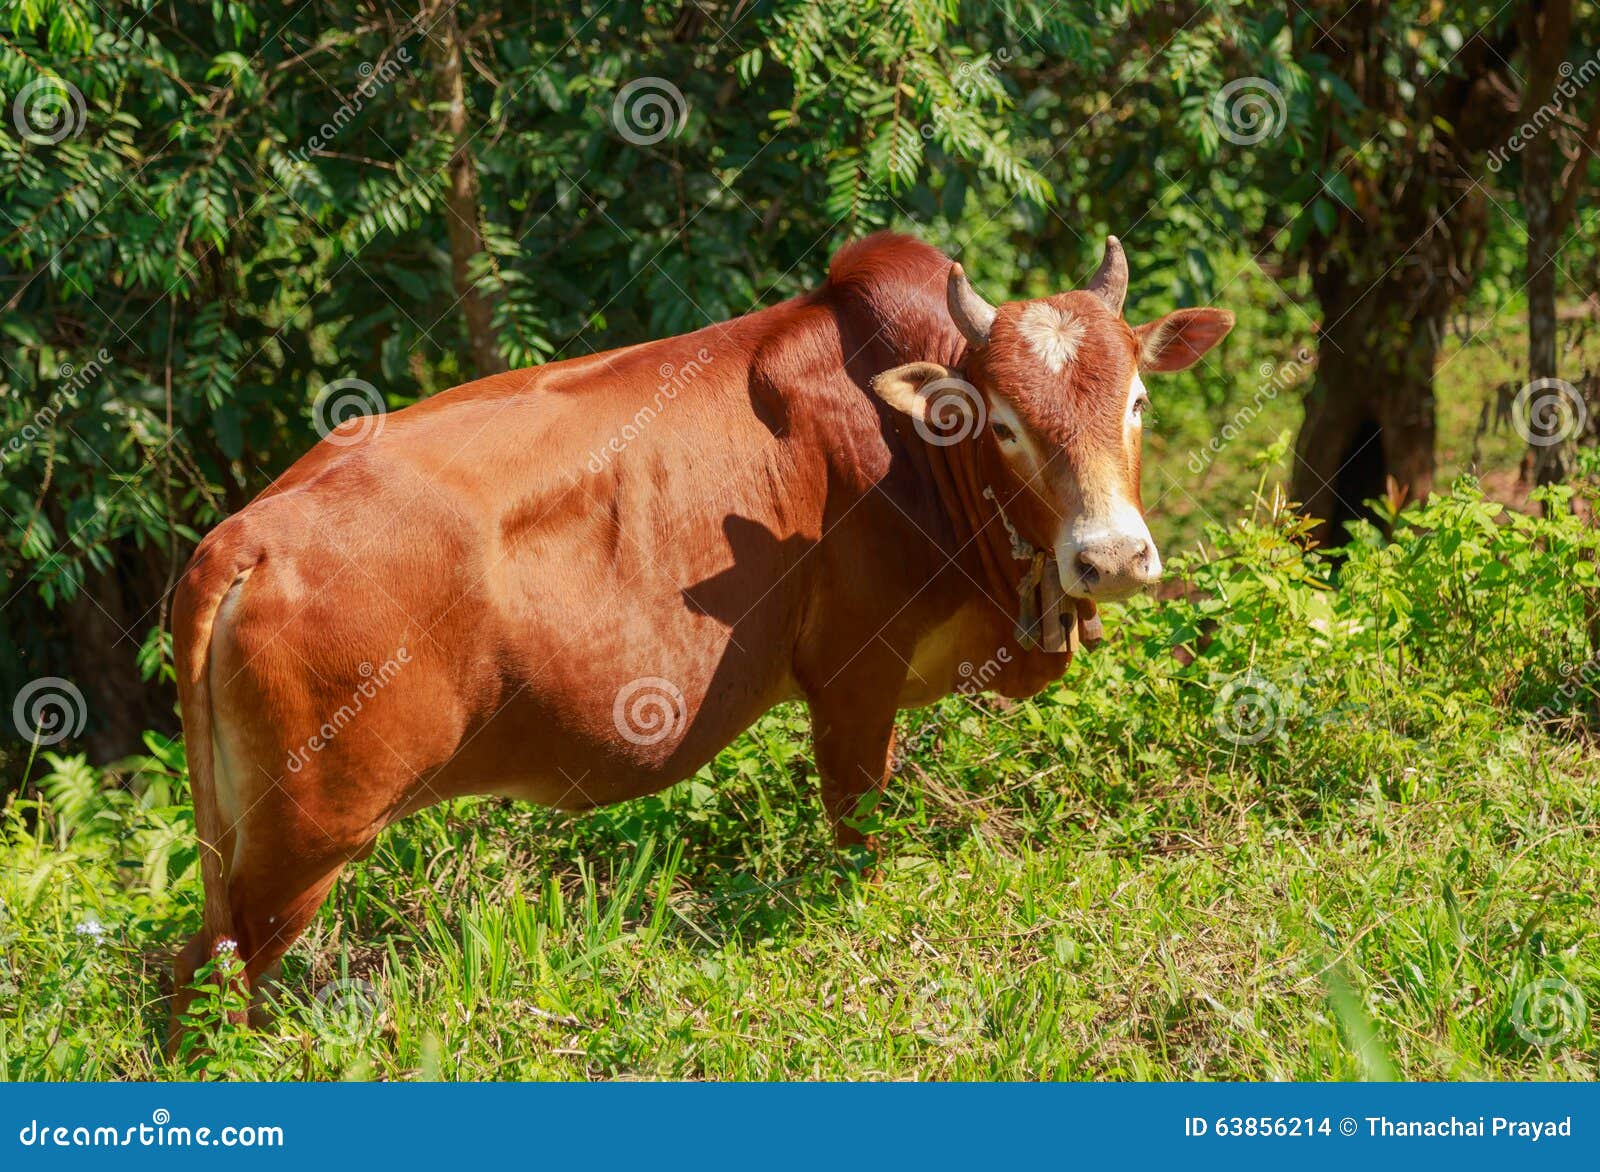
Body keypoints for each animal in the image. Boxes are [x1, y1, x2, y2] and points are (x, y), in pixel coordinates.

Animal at [168, 233, 1228, 1018]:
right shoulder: (854, 682)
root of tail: (244, 537)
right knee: (206, 982)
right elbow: (863, 848)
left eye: (1137, 400)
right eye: (1001, 422)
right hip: (305, 837)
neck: (913, 450)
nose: (1111, 557)